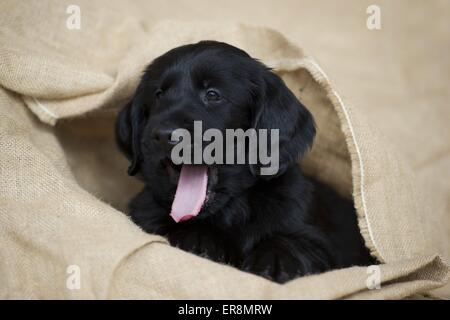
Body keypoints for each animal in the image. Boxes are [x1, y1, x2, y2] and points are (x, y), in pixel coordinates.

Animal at [116, 40, 372, 282]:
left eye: (212, 95)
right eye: (158, 95)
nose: (163, 135)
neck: (233, 209)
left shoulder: (318, 238)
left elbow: (293, 240)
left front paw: (275, 260)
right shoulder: (145, 214)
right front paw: (197, 238)